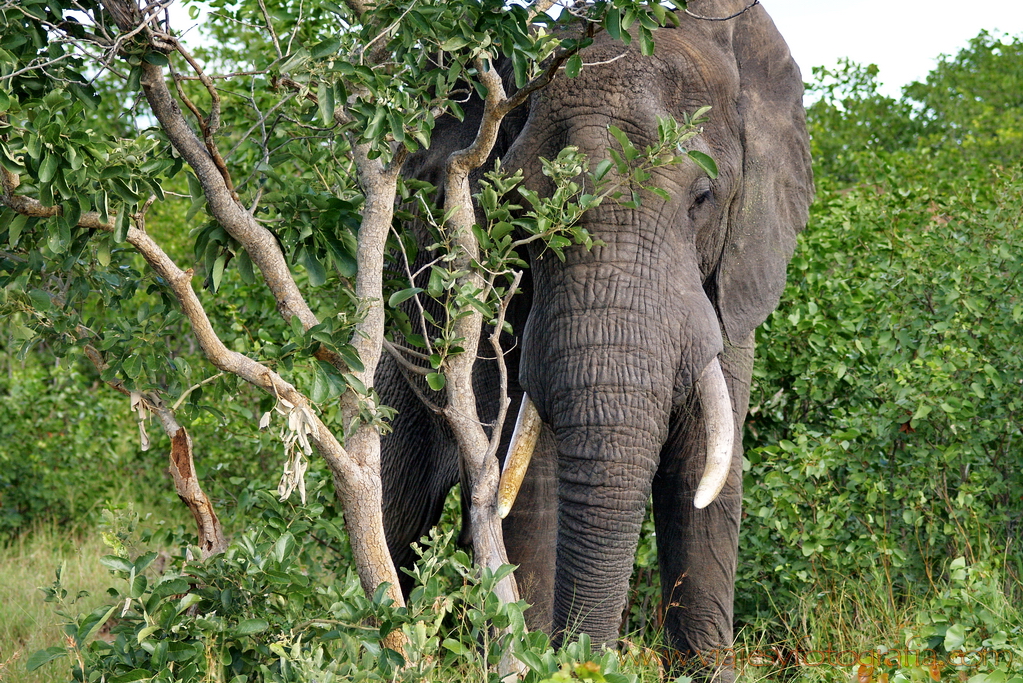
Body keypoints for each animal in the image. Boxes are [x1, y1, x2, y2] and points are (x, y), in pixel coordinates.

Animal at [372, 2, 810, 678]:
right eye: (518, 208)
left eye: (704, 198)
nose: (587, 656)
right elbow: (528, 476)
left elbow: (702, 469)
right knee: (399, 512)